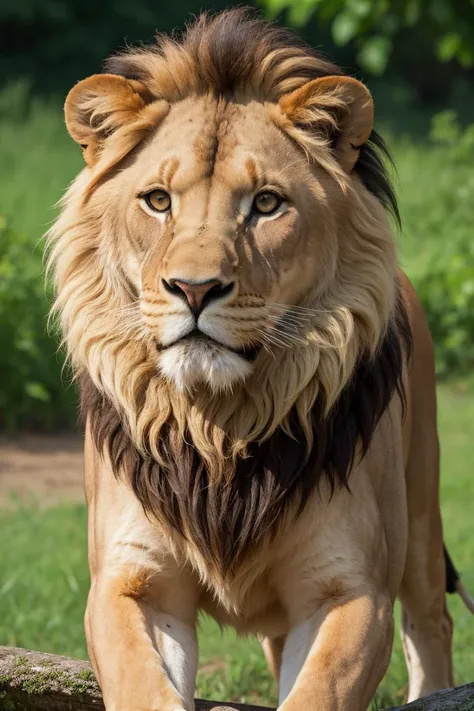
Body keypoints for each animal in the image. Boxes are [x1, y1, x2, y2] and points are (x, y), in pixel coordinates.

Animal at [47, 6, 470, 711]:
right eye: (158, 200)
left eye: (267, 203)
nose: (194, 289)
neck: (220, 426)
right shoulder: (130, 582)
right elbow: (143, 684)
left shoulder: (349, 591)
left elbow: (318, 691)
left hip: (419, 518)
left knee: (432, 623)